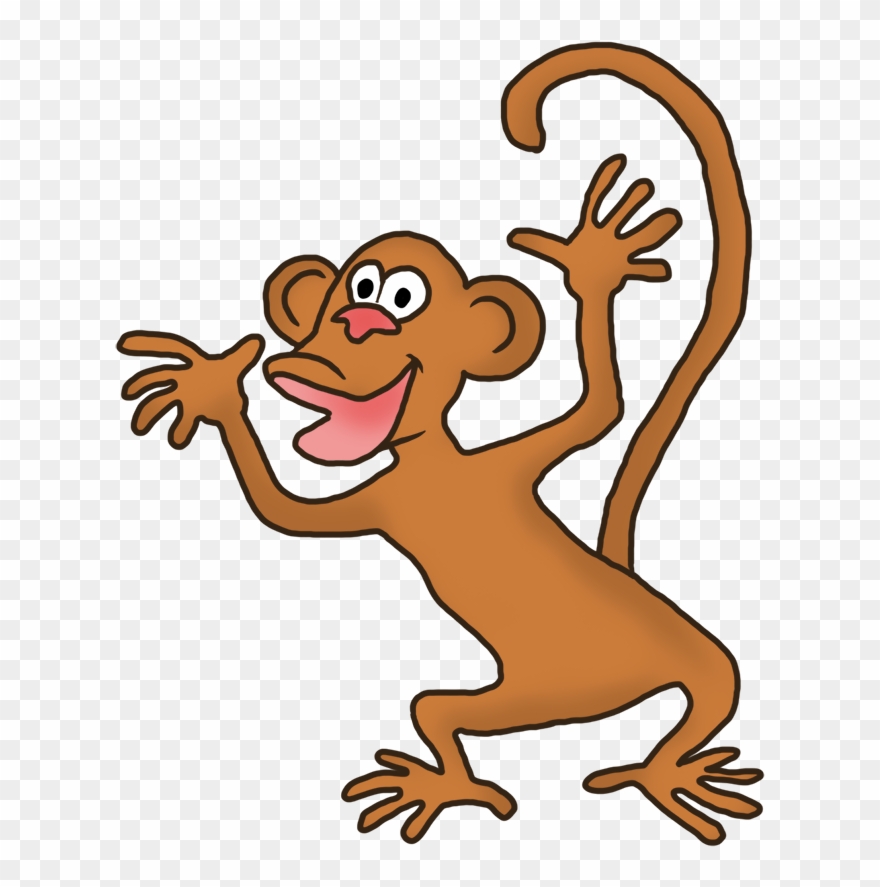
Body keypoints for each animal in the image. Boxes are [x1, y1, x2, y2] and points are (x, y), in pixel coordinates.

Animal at [118, 43, 763, 845]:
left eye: (400, 299)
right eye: (351, 293)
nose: (356, 327)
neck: (436, 469)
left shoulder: (504, 464)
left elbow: (601, 409)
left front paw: (592, 267)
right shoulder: (382, 499)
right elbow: (283, 511)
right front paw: (211, 387)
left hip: (656, 645)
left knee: (715, 679)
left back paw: (661, 776)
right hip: (530, 692)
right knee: (438, 709)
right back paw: (477, 782)